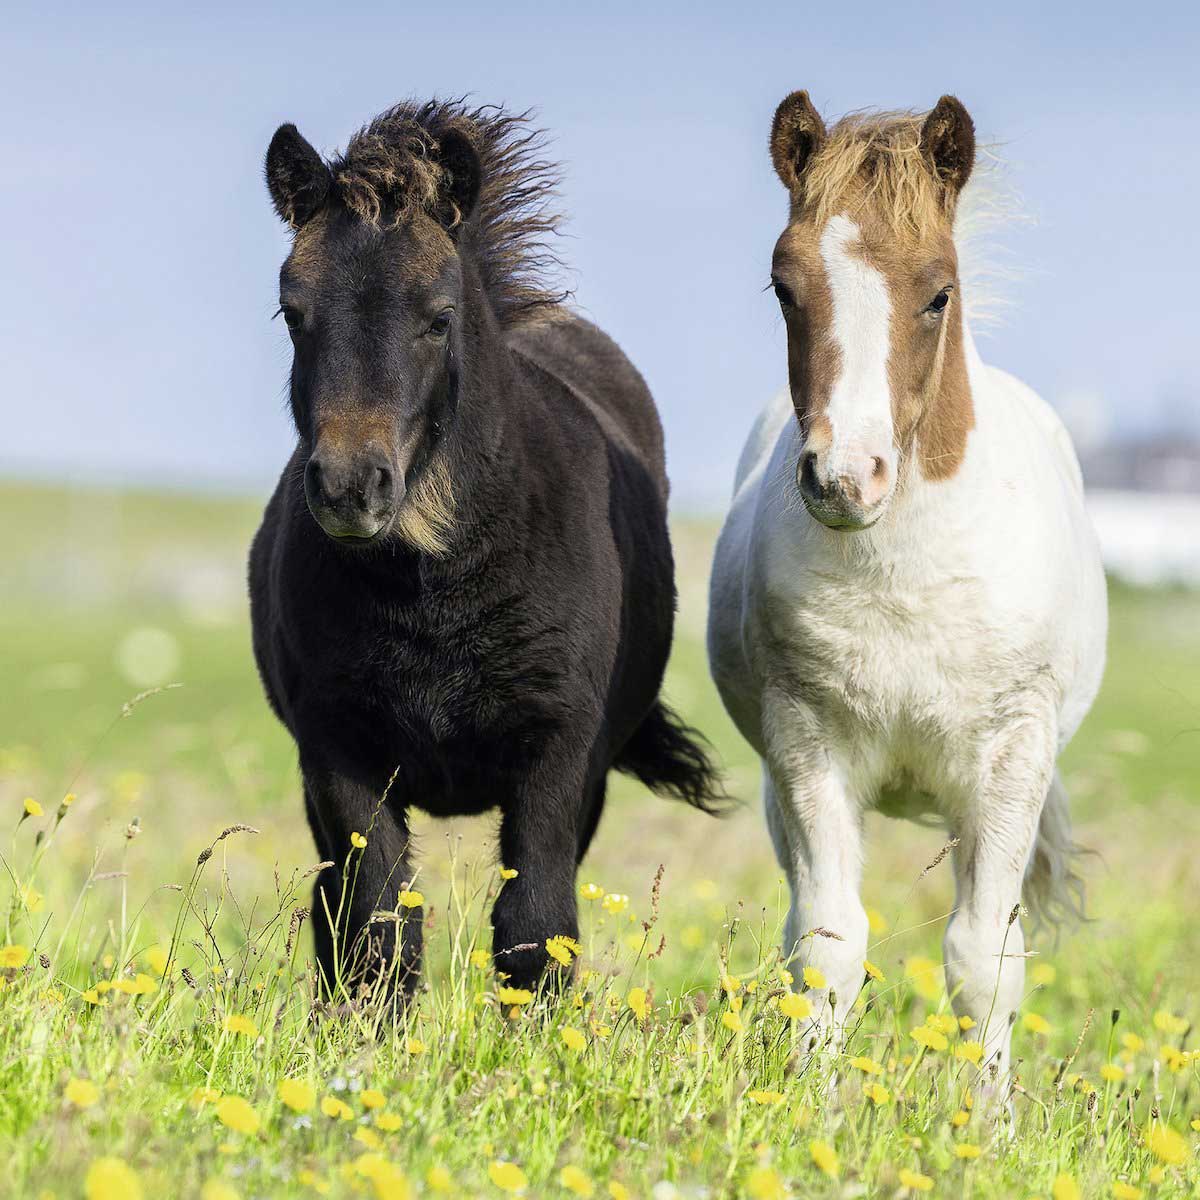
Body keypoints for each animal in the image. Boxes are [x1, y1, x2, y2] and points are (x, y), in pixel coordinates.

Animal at [249, 99, 719, 1006]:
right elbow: (376, 929)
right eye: (292, 312)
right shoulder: (337, 753)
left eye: (439, 317)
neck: (434, 588)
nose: (351, 488)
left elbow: (535, 931)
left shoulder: (557, 755)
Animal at [707, 92, 1107, 1091]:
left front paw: (988, 1121)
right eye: (784, 287)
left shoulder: (1009, 759)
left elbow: (983, 961)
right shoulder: (807, 746)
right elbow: (828, 946)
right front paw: (812, 1107)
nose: (845, 479)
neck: (905, 573)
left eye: (938, 293)